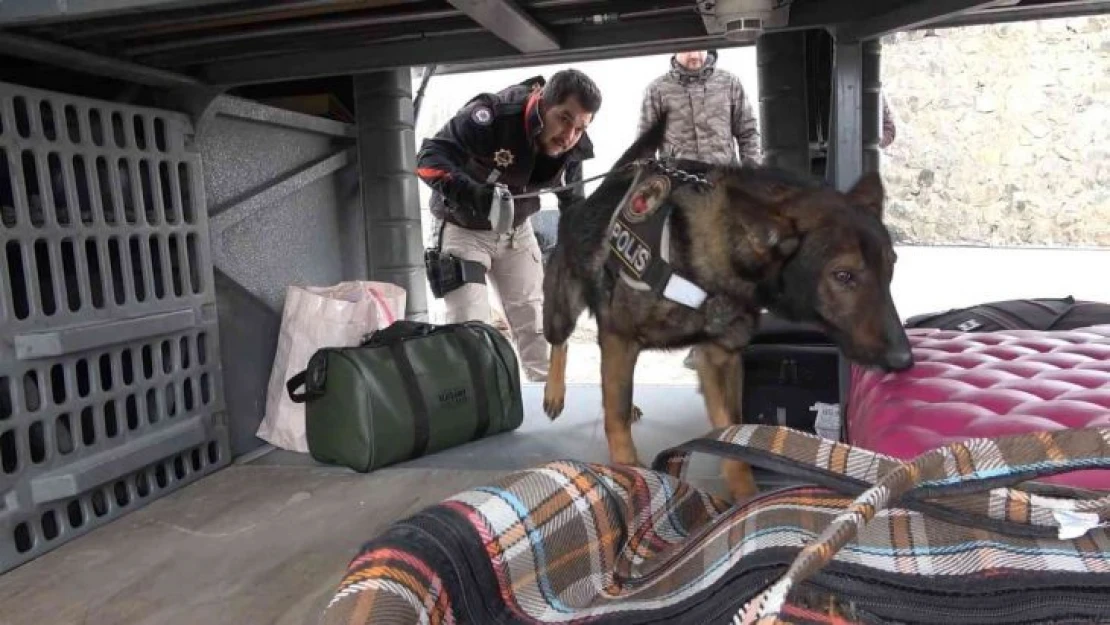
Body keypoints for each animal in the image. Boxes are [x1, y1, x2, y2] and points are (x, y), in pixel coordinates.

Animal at [541, 114, 914, 501]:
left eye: (890, 266)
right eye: (843, 276)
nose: (905, 360)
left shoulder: (719, 358)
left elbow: (734, 438)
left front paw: (747, 499)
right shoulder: (620, 336)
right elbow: (614, 416)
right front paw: (629, 469)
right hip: (562, 312)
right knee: (559, 342)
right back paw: (554, 392)